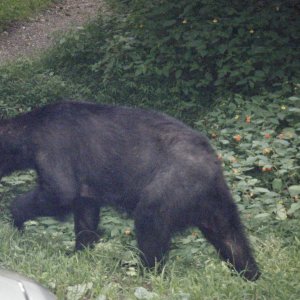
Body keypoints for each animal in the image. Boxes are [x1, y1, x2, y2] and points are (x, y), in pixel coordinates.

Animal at [0, 102, 258, 280]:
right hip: (215, 201)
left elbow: (61, 191)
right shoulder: (86, 182)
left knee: (150, 221)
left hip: (172, 185)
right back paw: (250, 273)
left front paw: (16, 219)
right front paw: (80, 251)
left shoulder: (54, 147)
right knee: (230, 236)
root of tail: (212, 163)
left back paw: (141, 269)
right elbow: (85, 212)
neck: (28, 132)